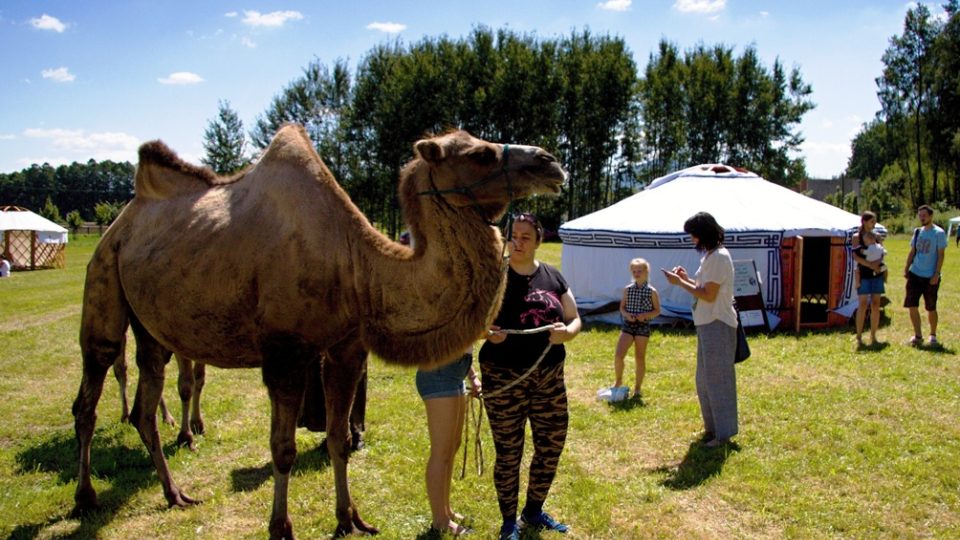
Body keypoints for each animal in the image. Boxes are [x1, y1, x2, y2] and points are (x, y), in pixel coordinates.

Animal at [77, 124, 568, 536]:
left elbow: (338, 437)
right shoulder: (285, 355)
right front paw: (281, 527)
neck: (360, 269)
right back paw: (87, 497)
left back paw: (175, 493)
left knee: (146, 403)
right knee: (91, 389)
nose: (550, 162)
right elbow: (283, 448)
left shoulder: (347, 349)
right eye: (480, 153)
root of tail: (122, 219)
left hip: (152, 326)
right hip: (102, 277)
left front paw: (351, 518)